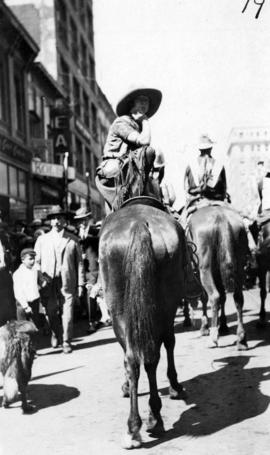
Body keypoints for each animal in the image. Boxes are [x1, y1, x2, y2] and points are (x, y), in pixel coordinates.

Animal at [98, 198, 187, 450]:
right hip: (164, 304)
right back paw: (153, 418)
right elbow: (169, 343)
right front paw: (175, 385)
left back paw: (134, 427)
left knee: (134, 360)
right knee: (150, 357)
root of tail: (139, 224)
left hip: (119, 308)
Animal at [188, 205, 249, 350]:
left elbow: (206, 297)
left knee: (214, 296)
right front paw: (224, 326)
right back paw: (241, 338)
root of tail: (220, 217)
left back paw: (213, 337)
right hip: (239, 265)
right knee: (238, 298)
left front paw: (205, 327)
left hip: (205, 268)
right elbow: (224, 297)